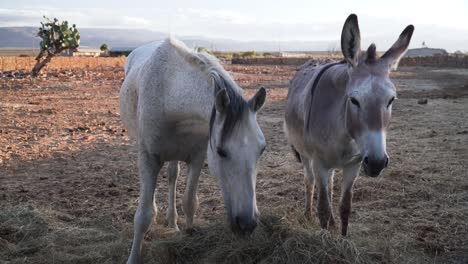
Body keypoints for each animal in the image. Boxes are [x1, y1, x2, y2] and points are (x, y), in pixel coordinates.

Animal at [119, 37, 266, 264]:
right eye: (221, 151)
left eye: (262, 149)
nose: (247, 224)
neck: (169, 92)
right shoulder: (149, 158)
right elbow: (143, 216)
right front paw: (133, 257)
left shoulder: (197, 157)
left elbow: (190, 201)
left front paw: (189, 233)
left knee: (172, 176)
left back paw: (172, 221)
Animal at [286, 14, 414, 235]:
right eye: (353, 100)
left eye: (391, 100)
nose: (377, 163)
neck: (344, 134)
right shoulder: (319, 162)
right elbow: (323, 209)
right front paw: (325, 237)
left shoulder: (354, 164)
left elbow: (345, 207)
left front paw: (341, 236)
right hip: (305, 155)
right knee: (310, 182)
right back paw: (307, 215)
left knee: (328, 186)